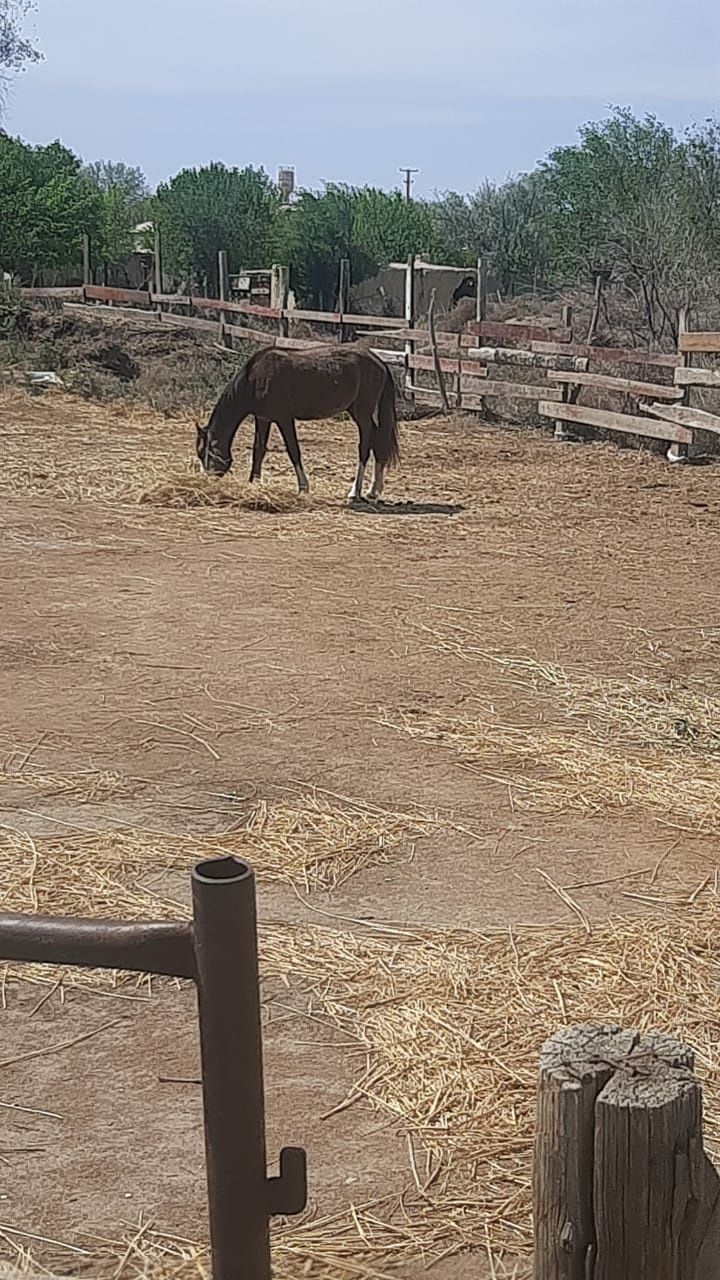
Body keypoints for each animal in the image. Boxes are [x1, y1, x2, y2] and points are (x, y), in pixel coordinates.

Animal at [196, 343, 397, 501]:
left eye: (204, 453)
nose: (207, 478)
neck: (255, 378)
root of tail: (379, 362)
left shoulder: (284, 419)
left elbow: (293, 451)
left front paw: (303, 487)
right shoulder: (263, 418)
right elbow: (259, 450)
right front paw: (253, 483)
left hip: (362, 414)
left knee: (365, 447)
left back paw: (355, 491)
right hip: (357, 412)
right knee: (378, 443)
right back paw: (373, 490)